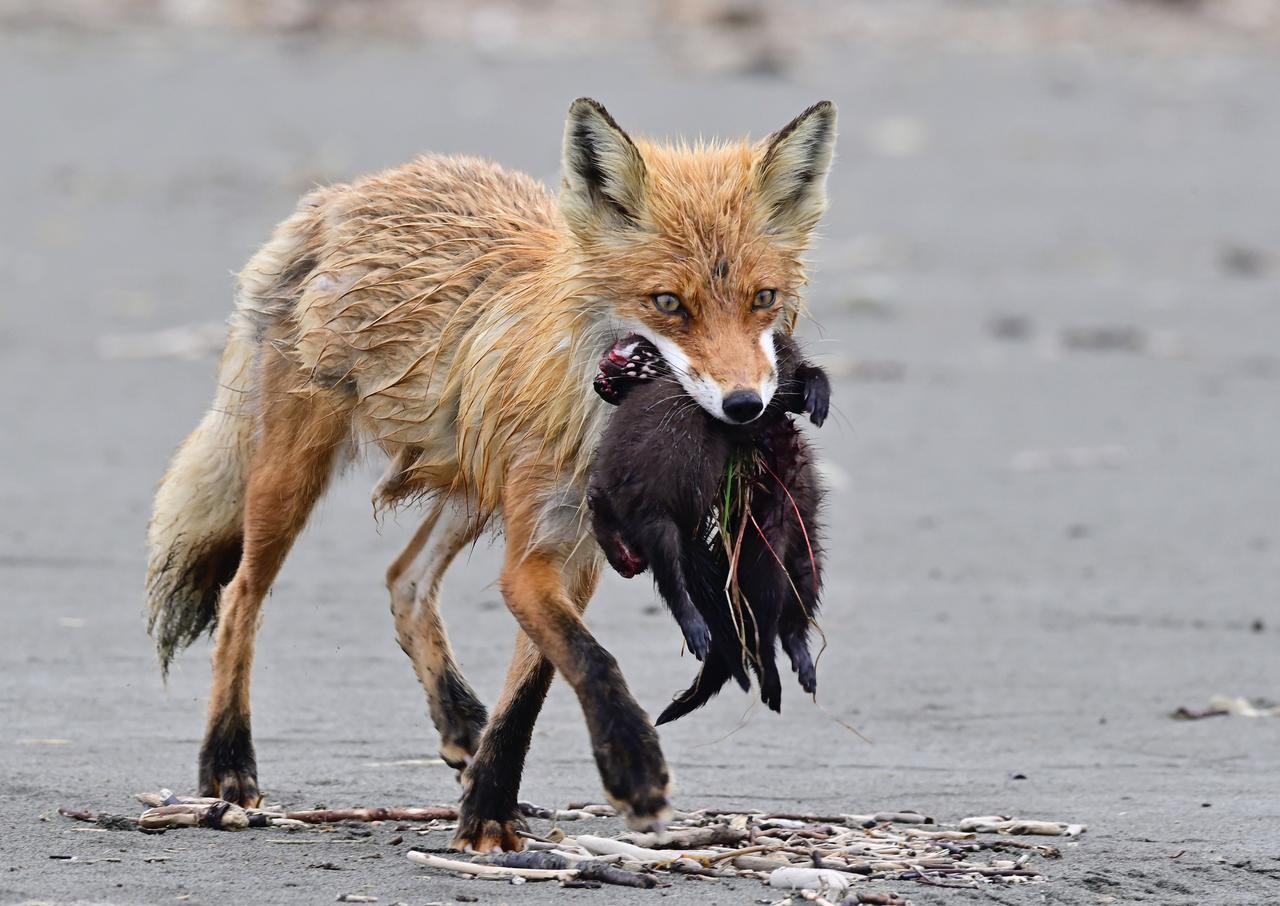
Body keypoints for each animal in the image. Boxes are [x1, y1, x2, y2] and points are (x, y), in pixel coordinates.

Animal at [145, 99, 834, 854]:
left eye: (763, 297)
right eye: (668, 303)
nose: (746, 406)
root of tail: (348, 192)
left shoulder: (576, 552)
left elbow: (533, 688)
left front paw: (490, 807)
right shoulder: (534, 559)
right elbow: (592, 661)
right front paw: (632, 768)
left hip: (472, 487)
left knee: (404, 579)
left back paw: (458, 722)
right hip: (292, 474)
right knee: (241, 597)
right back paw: (227, 761)